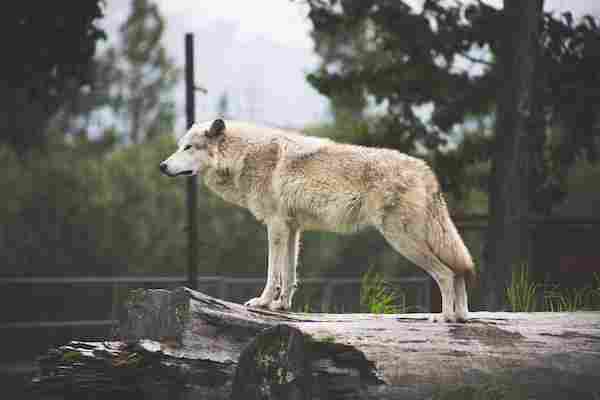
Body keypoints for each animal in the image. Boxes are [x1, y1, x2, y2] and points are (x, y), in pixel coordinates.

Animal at [158, 119, 474, 322]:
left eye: (188, 148)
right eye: (179, 146)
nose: (162, 166)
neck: (243, 155)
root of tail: (425, 171)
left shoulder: (275, 226)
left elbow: (273, 273)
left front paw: (262, 302)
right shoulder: (292, 229)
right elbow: (289, 276)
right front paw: (281, 307)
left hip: (402, 240)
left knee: (447, 274)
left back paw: (443, 318)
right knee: (459, 272)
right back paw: (461, 317)